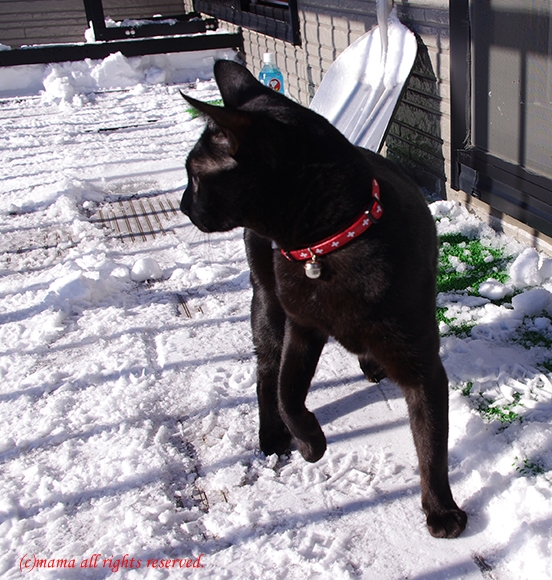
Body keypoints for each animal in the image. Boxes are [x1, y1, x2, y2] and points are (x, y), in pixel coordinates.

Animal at [180, 59, 467, 538]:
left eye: (197, 177)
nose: (184, 205)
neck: (329, 247)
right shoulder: (301, 328)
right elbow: (286, 392)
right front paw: (311, 443)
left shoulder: (420, 360)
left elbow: (432, 442)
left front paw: (440, 510)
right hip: (267, 303)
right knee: (265, 373)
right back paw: (272, 437)